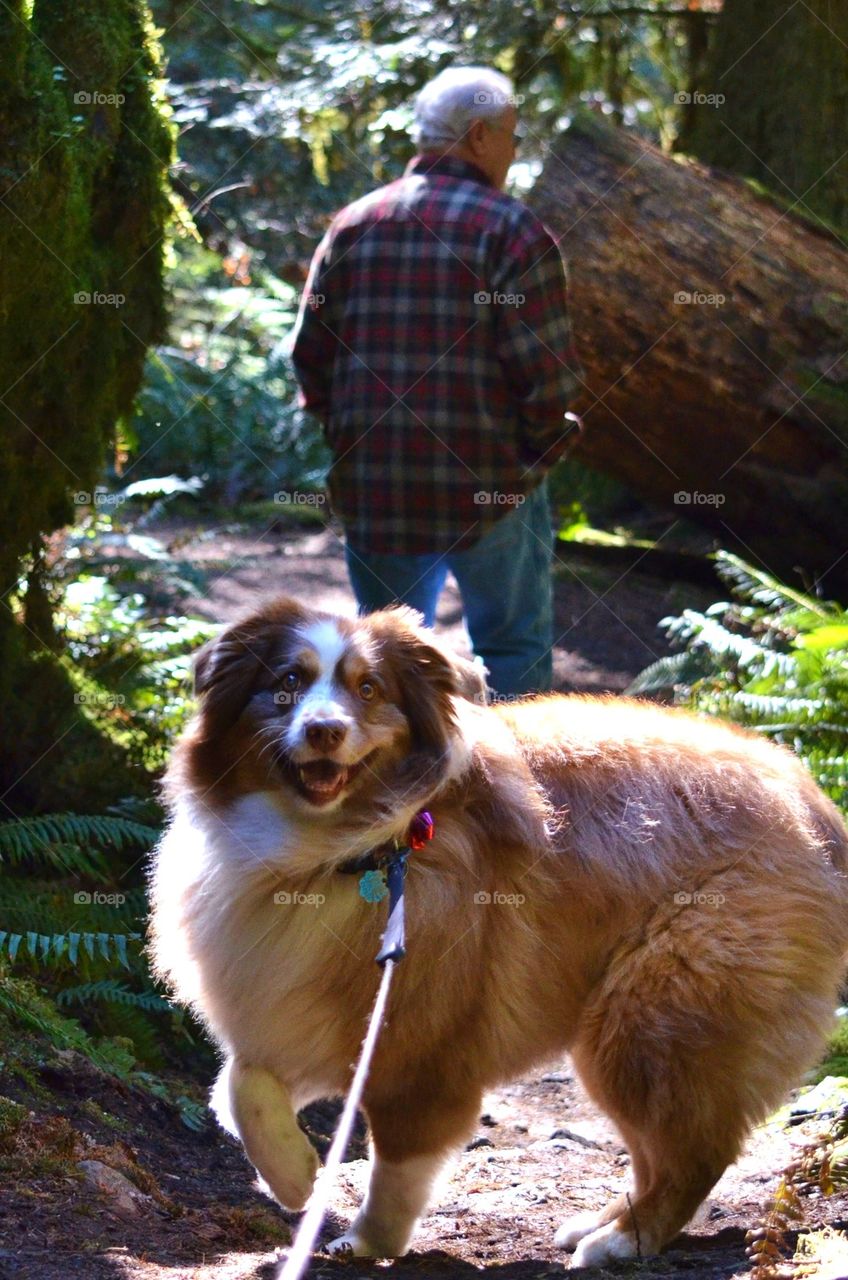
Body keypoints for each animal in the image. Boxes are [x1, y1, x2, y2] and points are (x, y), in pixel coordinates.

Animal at [149, 593, 848, 1264]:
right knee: (663, 1153)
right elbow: (239, 1086)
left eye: (368, 688)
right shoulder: (296, 1004)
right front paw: (294, 1177)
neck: (347, 850)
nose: (324, 730)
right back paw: (600, 1223)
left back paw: (621, 1241)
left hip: (651, 1019)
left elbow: (397, 1163)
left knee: (693, 1155)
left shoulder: (421, 1043)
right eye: (288, 682)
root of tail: (812, 798)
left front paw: (369, 1241)